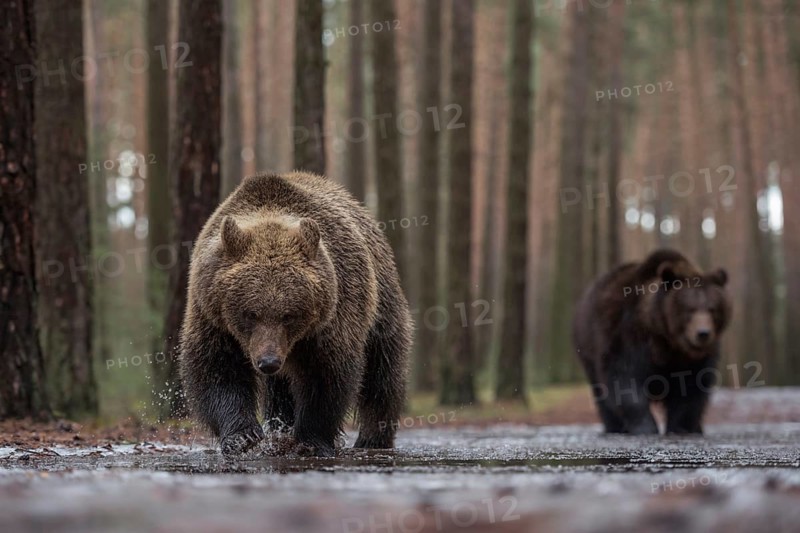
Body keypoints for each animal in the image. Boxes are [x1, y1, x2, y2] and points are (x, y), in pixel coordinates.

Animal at [178, 171, 411, 457]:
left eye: (288, 314)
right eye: (250, 313)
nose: (268, 362)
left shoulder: (332, 317)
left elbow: (325, 374)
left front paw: (311, 440)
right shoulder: (212, 315)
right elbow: (216, 368)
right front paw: (243, 436)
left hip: (381, 306)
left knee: (383, 372)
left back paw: (373, 439)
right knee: (280, 390)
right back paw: (282, 427)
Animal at [572, 249, 731, 435]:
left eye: (712, 308)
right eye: (690, 309)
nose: (703, 333)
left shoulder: (695, 359)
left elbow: (692, 386)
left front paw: (680, 427)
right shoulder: (628, 338)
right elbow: (624, 380)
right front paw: (646, 427)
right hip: (588, 349)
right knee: (600, 391)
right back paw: (614, 427)